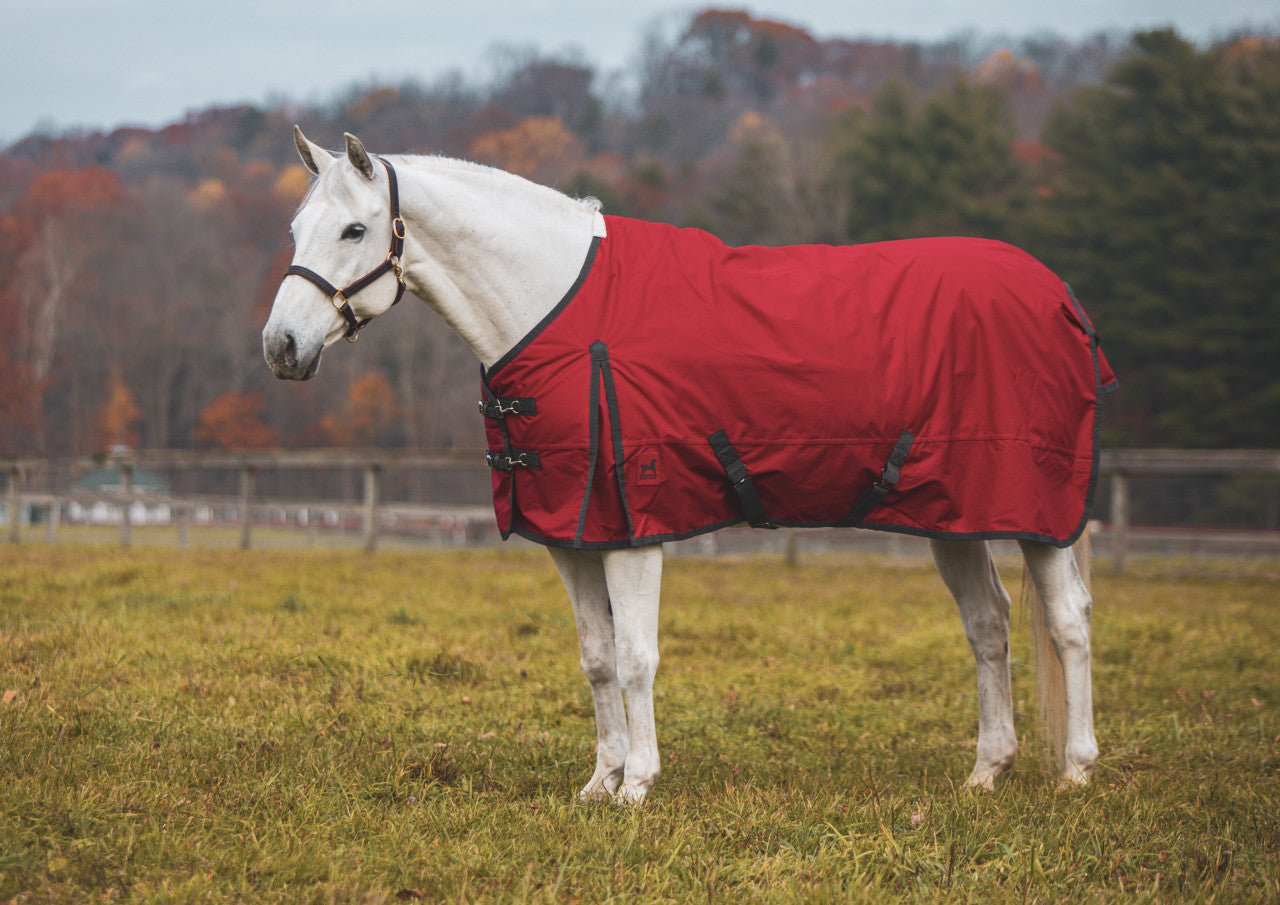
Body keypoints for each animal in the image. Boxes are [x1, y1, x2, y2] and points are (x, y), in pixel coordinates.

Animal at [263, 127, 1106, 804]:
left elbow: (638, 657)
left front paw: (638, 784)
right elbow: (598, 659)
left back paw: (1075, 770)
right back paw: (986, 772)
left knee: (1067, 620)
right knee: (989, 624)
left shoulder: (635, 528)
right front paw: (599, 781)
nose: (280, 347)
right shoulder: (574, 535)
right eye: (297, 227)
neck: (559, 310)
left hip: (1041, 513)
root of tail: (1059, 294)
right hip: (953, 515)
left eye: (355, 227)